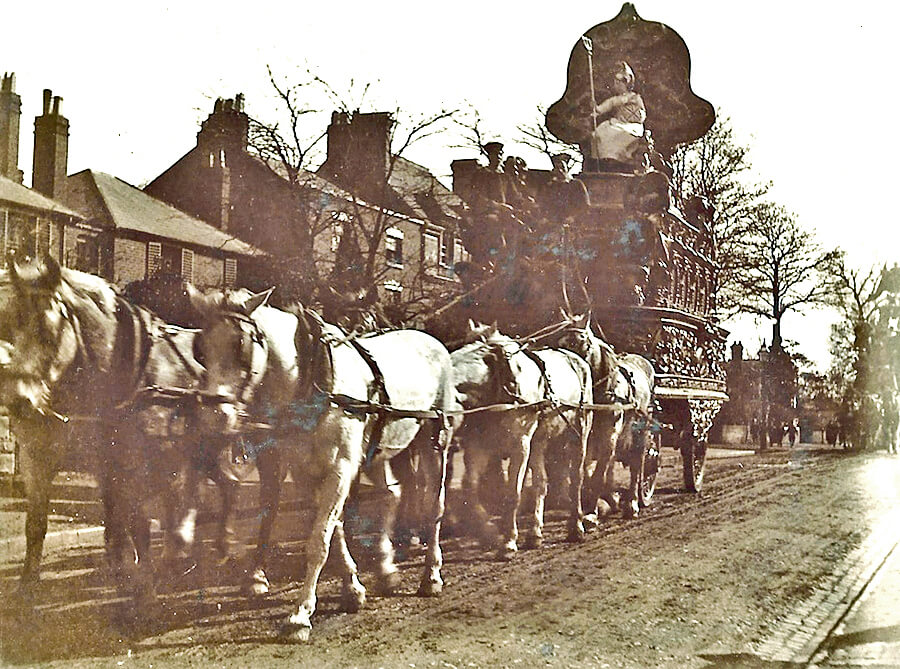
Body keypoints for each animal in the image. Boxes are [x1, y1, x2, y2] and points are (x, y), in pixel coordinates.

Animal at [187, 288, 460, 640]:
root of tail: (431, 339)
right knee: (391, 495)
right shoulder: (307, 472)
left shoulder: (340, 468)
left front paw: (300, 615)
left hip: (434, 440)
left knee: (434, 505)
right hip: (377, 450)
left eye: (241, 345)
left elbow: (318, 540)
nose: (213, 414)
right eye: (201, 350)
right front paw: (352, 589)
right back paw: (386, 568)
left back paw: (431, 574)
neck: (312, 377)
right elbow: (334, 529)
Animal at [450, 320, 592, 556]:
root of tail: (575, 358)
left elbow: (512, 493)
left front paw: (508, 541)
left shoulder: (520, 445)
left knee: (576, 478)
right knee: (541, 484)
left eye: (488, 357)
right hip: (539, 443)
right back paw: (534, 534)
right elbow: (469, 488)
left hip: (578, 433)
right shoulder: (478, 445)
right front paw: (489, 532)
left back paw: (576, 527)